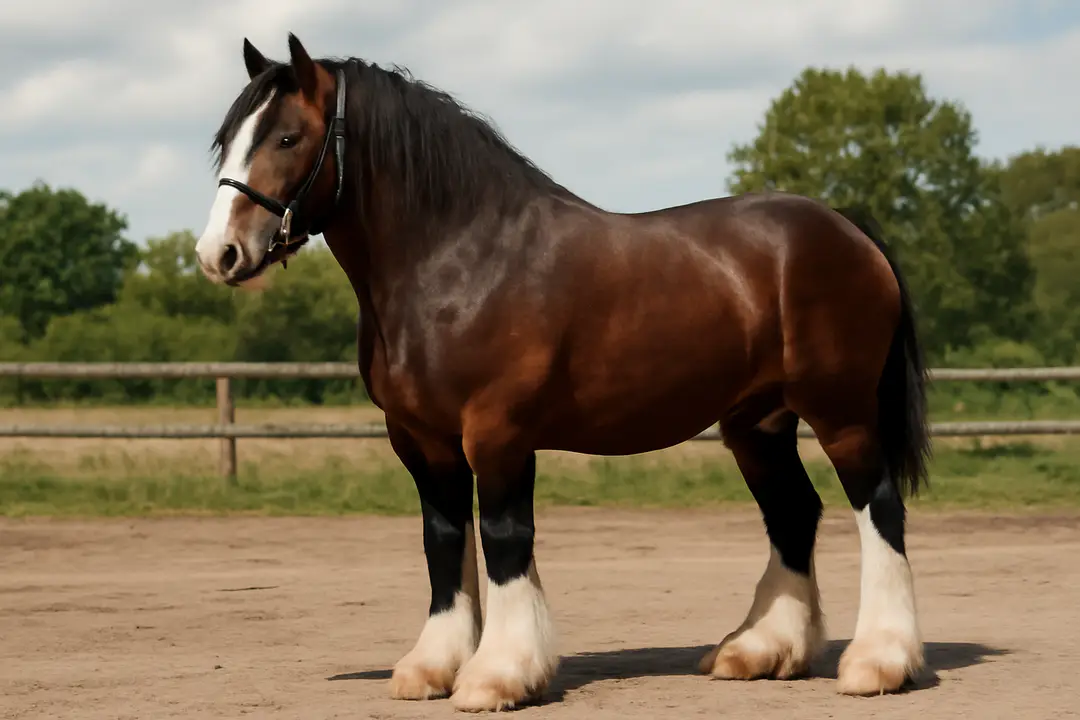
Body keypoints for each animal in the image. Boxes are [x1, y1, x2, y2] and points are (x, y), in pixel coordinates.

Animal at [194, 33, 933, 712]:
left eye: (288, 137)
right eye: (226, 141)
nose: (217, 254)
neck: (460, 258)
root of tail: (849, 230)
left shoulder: (496, 432)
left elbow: (503, 540)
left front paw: (498, 674)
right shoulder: (420, 439)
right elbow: (444, 538)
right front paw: (433, 666)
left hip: (840, 411)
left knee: (877, 508)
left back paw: (879, 661)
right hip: (758, 423)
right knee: (792, 512)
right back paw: (759, 650)